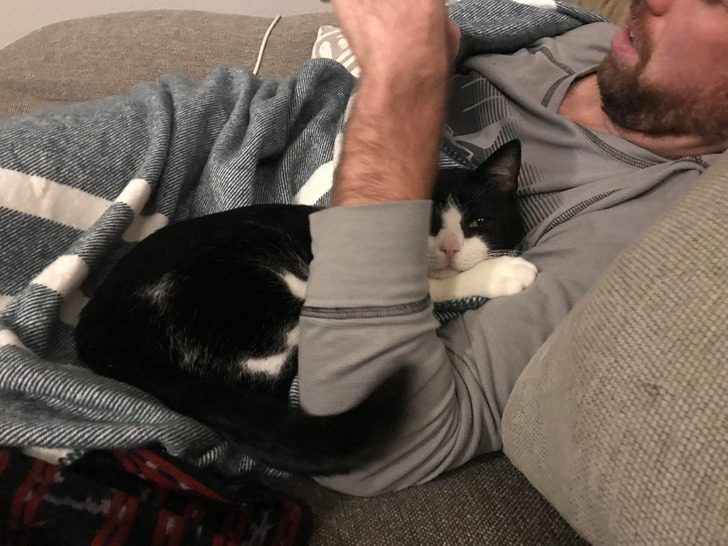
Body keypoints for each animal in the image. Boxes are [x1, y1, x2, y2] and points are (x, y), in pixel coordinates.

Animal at [74, 140, 536, 475]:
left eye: (478, 222)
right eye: (426, 225)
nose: (452, 248)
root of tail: (101, 336)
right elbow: (429, 286)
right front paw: (505, 272)